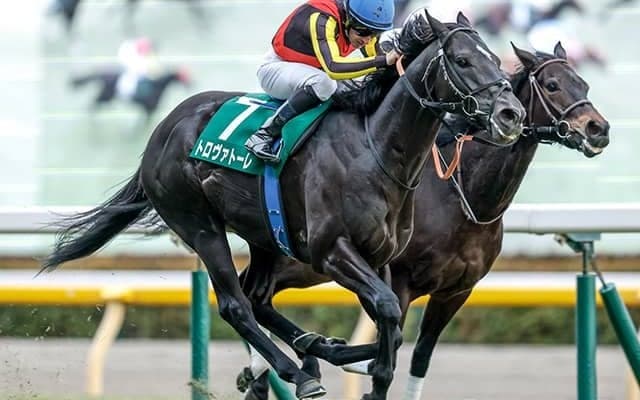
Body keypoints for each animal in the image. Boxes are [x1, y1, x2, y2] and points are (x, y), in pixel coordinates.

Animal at [41, 11, 524, 400]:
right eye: (462, 61)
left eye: (497, 59)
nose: (510, 114)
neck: (377, 150)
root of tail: (164, 129)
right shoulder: (333, 252)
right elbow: (388, 310)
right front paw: (340, 362)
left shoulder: (383, 258)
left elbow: (393, 328)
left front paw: (339, 353)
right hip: (200, 224)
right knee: (235, 304)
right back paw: (299, 371)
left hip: (265, 237)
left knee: (256, 297)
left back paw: (310, 352)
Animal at [237, 41, 610, 400]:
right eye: (552, 85)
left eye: (584, 84)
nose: (598, 128)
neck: (462, 196)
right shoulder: (398, 282)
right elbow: (388, 348)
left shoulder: (455, 291)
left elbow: (420, 357)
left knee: (254, 293)